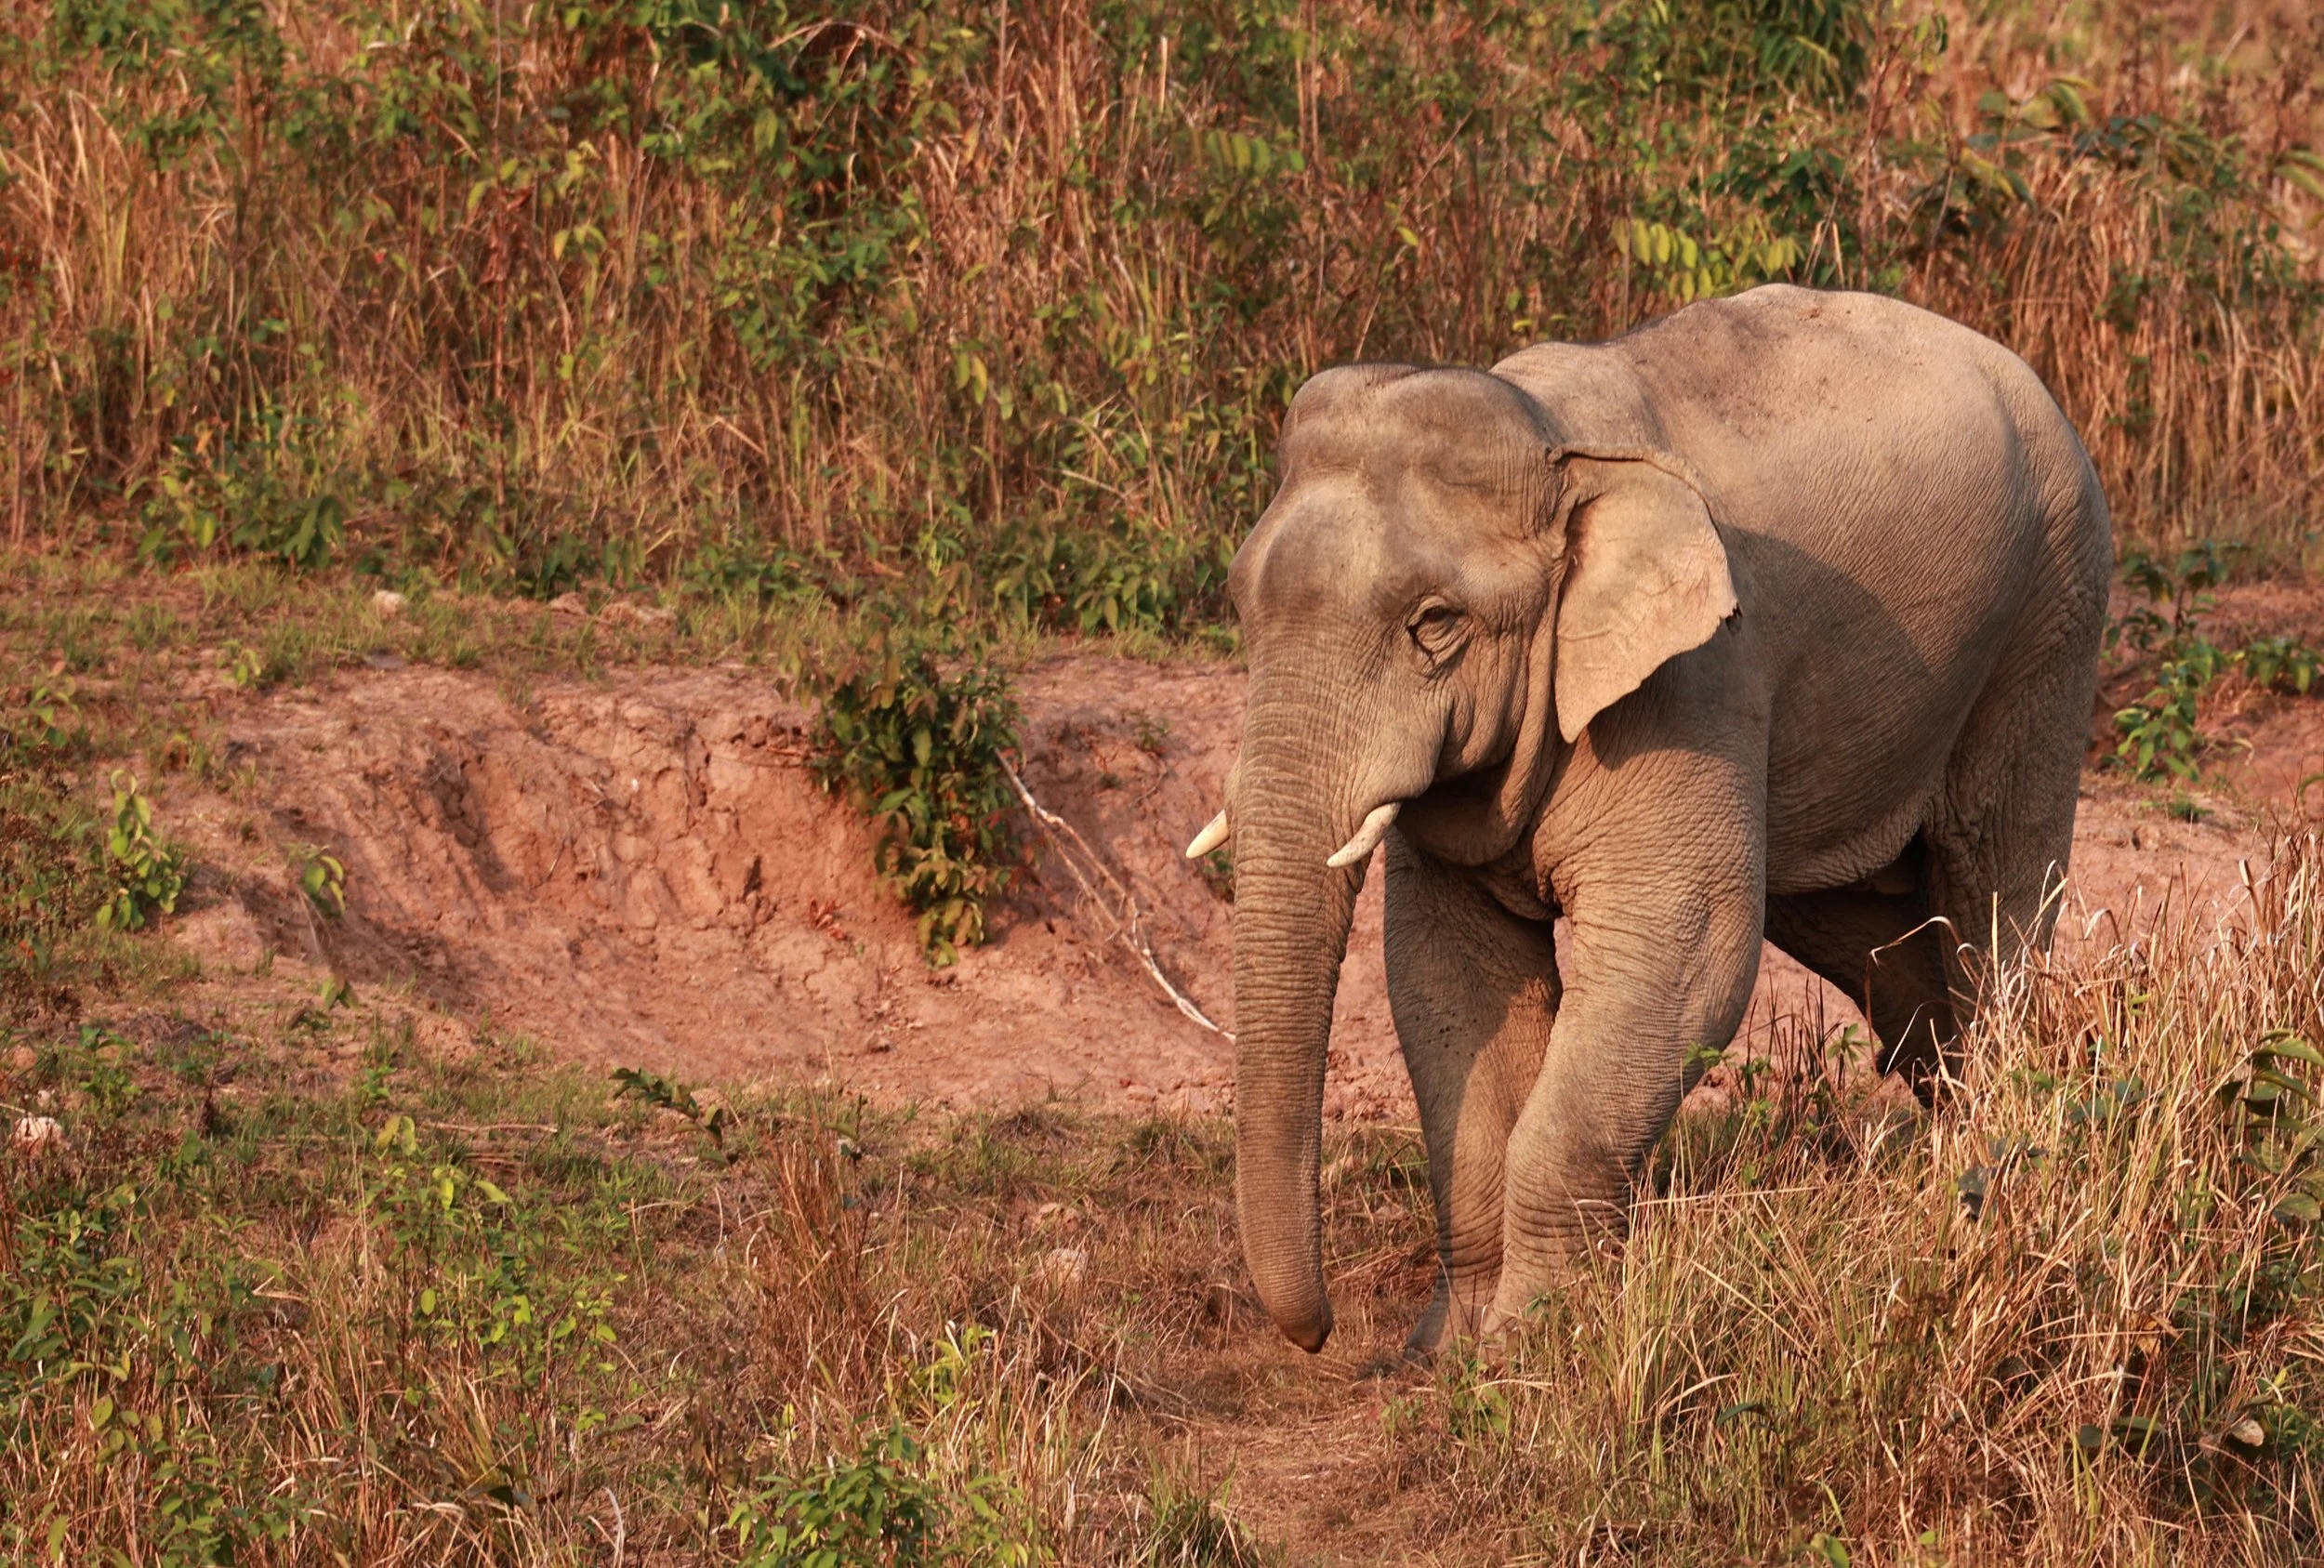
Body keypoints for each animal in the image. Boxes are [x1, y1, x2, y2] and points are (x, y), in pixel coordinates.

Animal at [1186, 284, 2112, 1356]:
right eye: (1241, 603)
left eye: (1435, 625)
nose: (1326, 1339)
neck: (1555, 443)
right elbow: (1446, 974)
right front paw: (1446, 1354)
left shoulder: (1696, 680)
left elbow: (1683, 950)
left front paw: (1528, 1350)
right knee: (1876, 935)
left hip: (2052, 613)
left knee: (1993, 892)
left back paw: (1988, 1166)